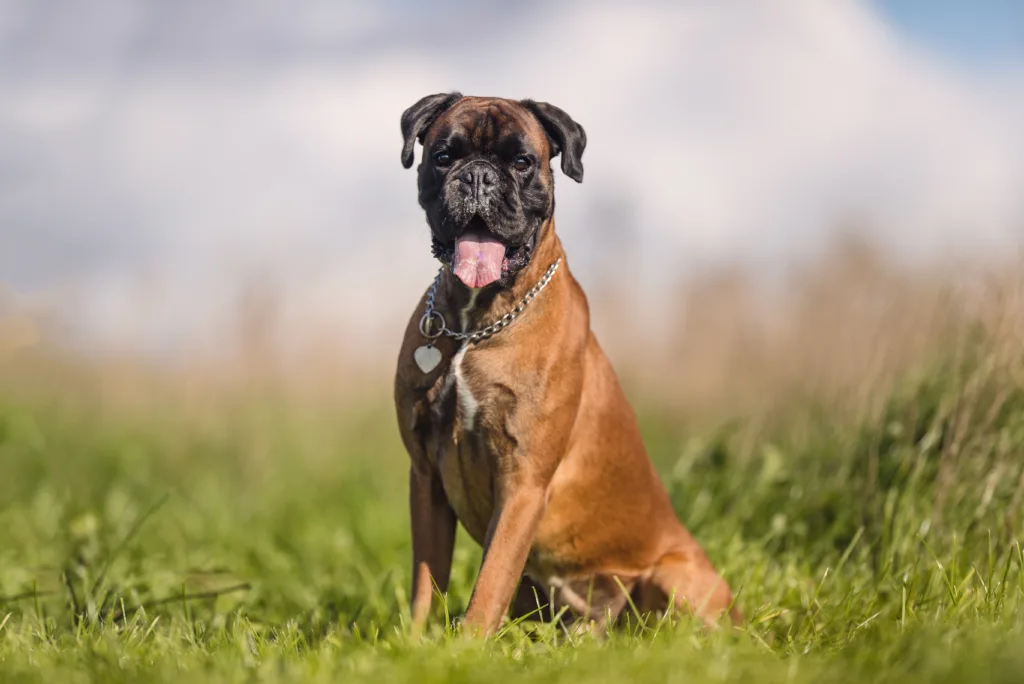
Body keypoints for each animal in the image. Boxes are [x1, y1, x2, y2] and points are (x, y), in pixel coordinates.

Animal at [389, 92, 737, 634]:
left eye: (521, 162)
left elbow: (489, 583)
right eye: (444, 156)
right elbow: (427, 580)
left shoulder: (524, 482)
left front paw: (466, 644)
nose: (478, 176)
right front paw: (415, 641)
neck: (476, 322)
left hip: (675, 580)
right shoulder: (425, 475)